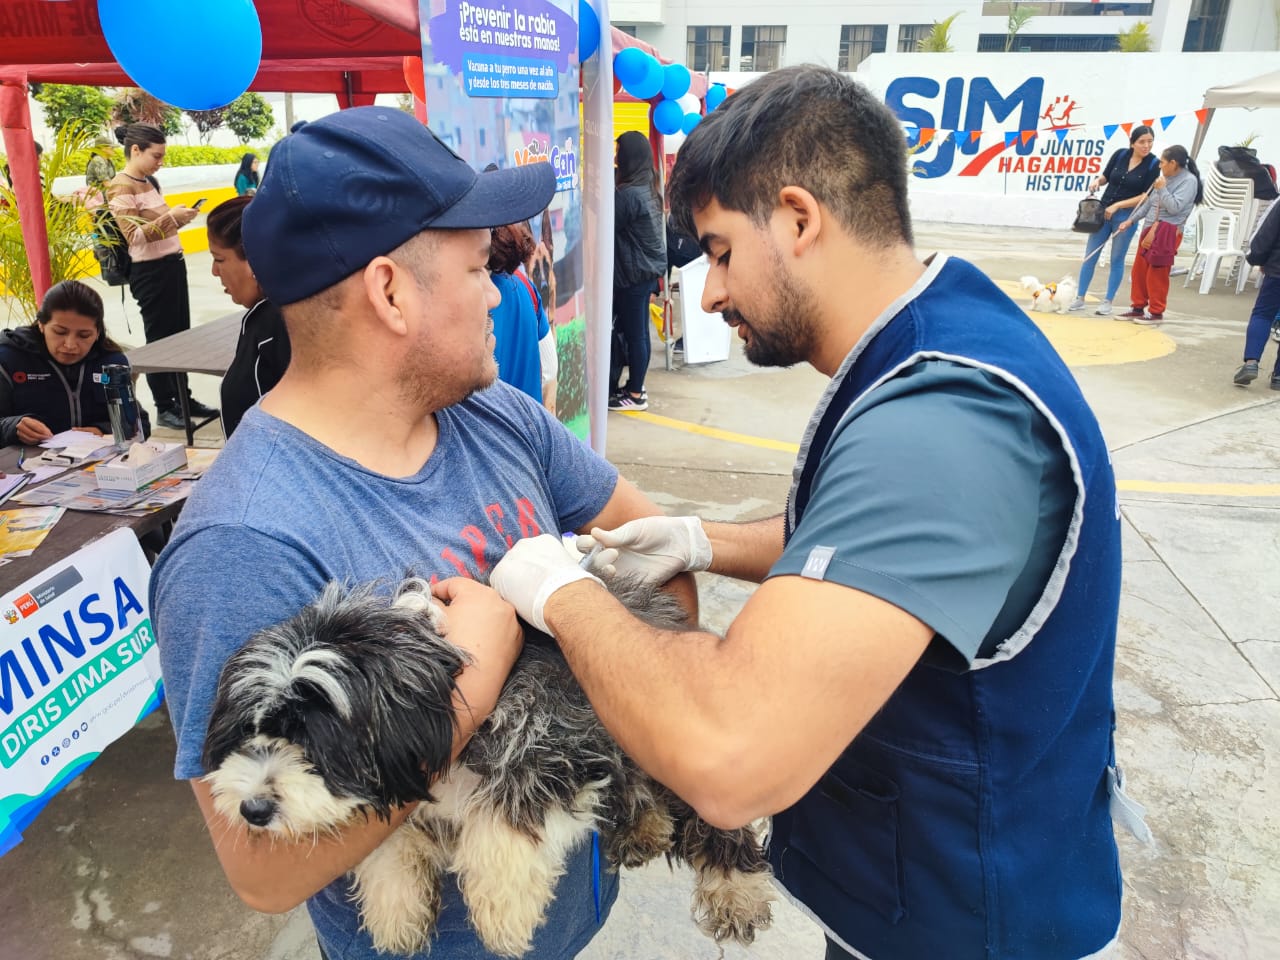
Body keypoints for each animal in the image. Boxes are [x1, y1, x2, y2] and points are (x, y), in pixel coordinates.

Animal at [199, 576, 768, 957]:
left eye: (316, 741)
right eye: (250, 731)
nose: (252, 809)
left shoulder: (554, 732)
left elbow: (506, 819)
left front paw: (503, 912)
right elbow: (385, 840)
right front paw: (395, 909)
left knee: (710, 813)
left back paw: (735, 890)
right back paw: (643, 827)